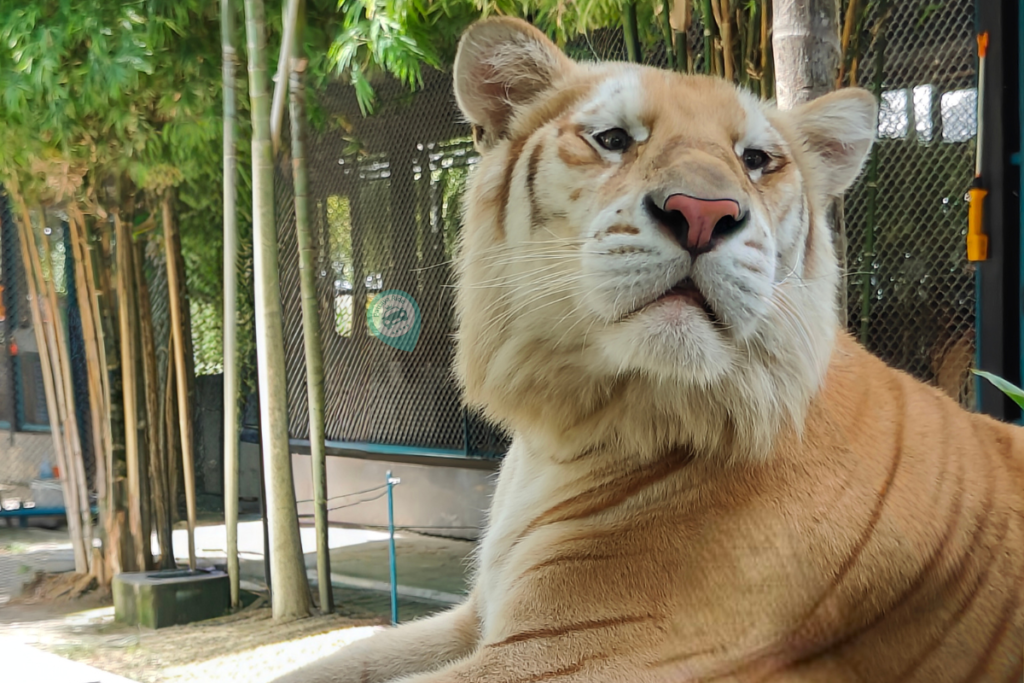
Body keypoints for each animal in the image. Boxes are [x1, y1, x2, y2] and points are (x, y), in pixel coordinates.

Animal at [274, 17, 1024, 683]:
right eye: (612, 139)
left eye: (755, 160)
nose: (703, 213)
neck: (568, 431)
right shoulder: (480, 617)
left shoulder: (564, 651)